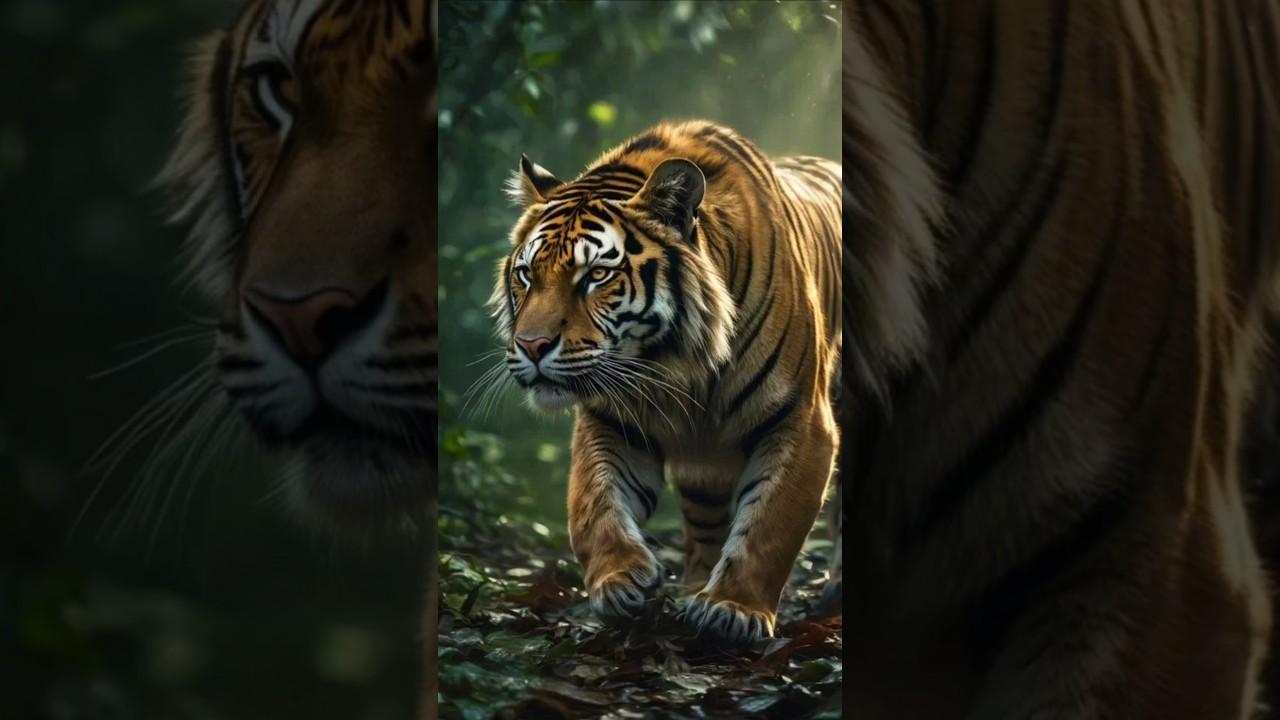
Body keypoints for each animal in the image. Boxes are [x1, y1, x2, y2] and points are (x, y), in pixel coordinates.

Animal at [490, 120, 842, 646]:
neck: (675, 364)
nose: (532, 346)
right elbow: (589, 503)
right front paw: (620, 581)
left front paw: (733, 609)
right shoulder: (612, 418)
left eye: (597, 274)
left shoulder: (802, 420)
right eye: (527, 275)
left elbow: (770, 524)